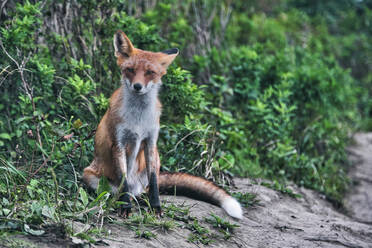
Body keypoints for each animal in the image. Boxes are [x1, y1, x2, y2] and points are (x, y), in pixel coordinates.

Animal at [83, 30, 243, 219]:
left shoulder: (151, 141)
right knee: (118, 191)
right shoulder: (119, 143)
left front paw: (156, 206)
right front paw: (126, 207)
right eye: (130, 70)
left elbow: (154, 181)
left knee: (145, 189)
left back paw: (142, 200)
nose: (137, 86)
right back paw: (121, 200)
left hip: (155, 160)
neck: (138, 119)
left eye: (150, 72)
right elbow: (124, 181)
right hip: (90, 176)